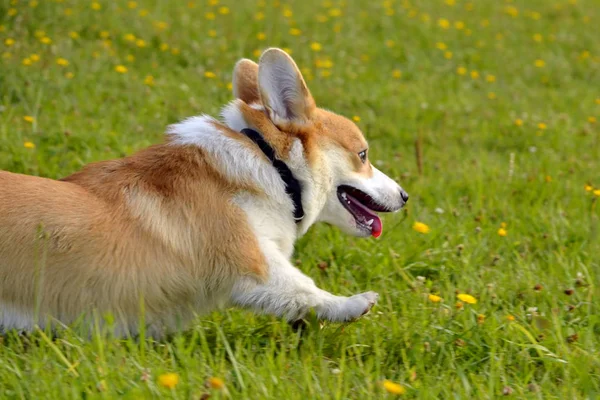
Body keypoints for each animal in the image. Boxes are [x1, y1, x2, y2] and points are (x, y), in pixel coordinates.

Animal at [0, 47, 408, 338]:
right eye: (363, 155)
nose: (405, 196)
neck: (271, 164)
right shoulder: (252, 261)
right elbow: (302, 288)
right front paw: (353, 304)